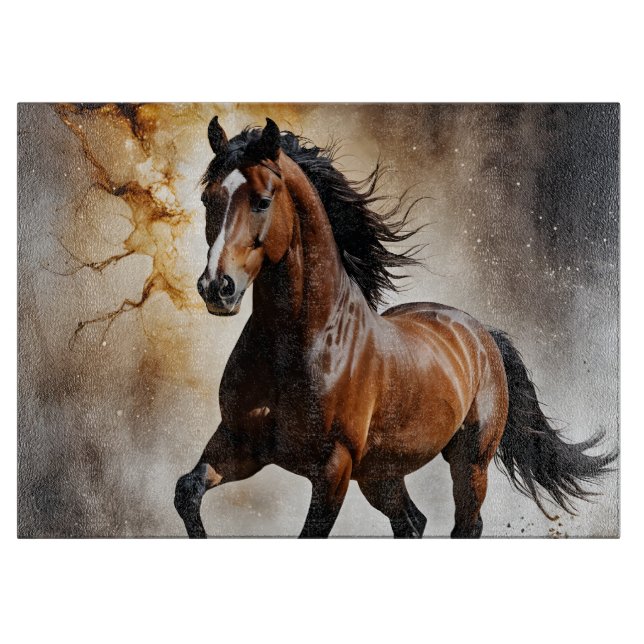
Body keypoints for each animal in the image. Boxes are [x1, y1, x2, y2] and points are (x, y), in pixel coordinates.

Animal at [174, 116, 617, 538]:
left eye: (263, 201)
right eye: (208, 199)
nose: (216, 287)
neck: (302, 344)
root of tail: (481, 333)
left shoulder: (333, 468)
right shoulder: (240, 444)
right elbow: (186, 492)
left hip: (469, 462)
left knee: (466, 524)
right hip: (381, 474)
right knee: (412, 521)